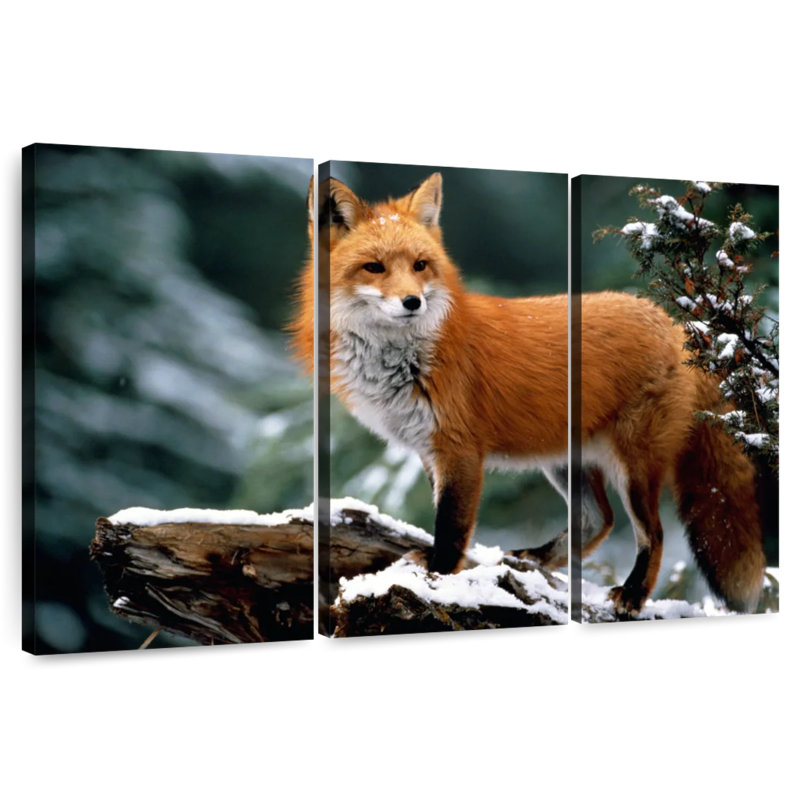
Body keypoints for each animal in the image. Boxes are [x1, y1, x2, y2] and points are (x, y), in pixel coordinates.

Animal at [292, 171, 765, 616]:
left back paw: (632, 593)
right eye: (374, 267)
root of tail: (676, 325)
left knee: (653, 532)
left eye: (420, 265)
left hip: (633, 464)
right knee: (598, 520)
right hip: (564, 459)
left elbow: (451, 527)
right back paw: (537, 560)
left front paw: (438, 578)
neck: (403, 359)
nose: (413, 302)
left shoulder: (459, 450)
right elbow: (444, 518)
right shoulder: (428, 448)